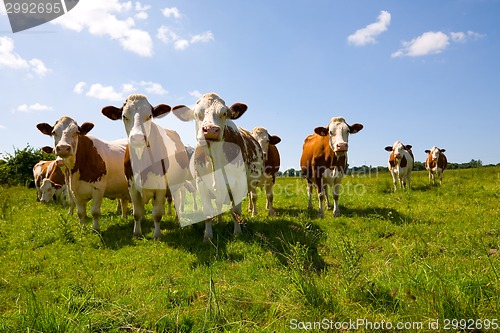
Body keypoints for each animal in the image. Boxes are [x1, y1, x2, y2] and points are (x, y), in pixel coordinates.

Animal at [101, 93, 189, 239]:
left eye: (149, 116)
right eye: (124, 116)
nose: (137, 138)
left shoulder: (160, 187)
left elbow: (157, 214)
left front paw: (156, 235)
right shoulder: (132, 186)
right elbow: (137, 213)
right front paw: (137, 233)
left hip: (177, 183)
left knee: (177, 199)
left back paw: (177, 219)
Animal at [171, 92, 266, 240]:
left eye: (224, 113)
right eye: (197, 114)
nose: (210, 129)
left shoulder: (238, 183)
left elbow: (236, 209)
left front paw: (237, 232)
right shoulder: (201, 183)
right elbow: (208, 211)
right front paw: (208, 236)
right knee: (218, 204)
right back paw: (219, 221)